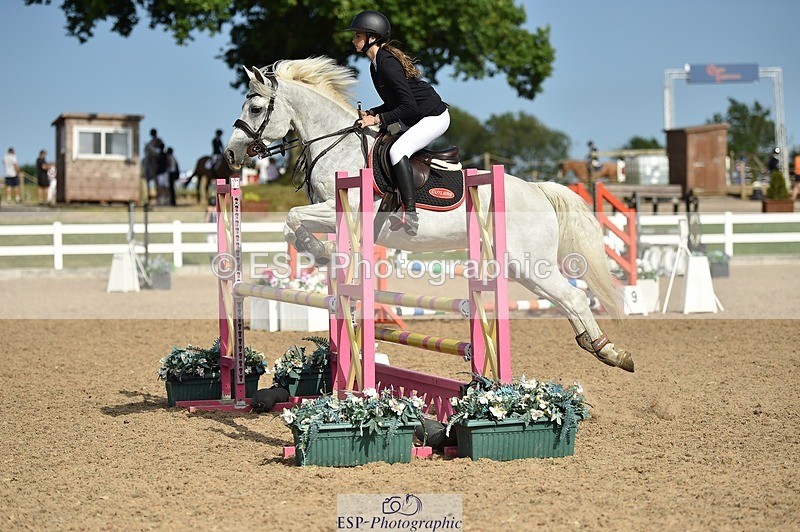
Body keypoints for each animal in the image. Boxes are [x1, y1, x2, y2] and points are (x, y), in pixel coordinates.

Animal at [224, 57, 634, 372]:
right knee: (566, 300)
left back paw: (612, 353)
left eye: (256, 108)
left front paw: (322, 254)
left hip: (529, 262)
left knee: (575, 297)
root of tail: (537, 189)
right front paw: (324, 257)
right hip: (521, 266)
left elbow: (292, 219)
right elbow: (294, 225)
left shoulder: (339, 210)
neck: (336, 145)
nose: (230, 155)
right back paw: (596, 346)